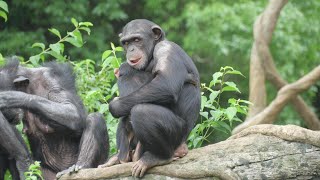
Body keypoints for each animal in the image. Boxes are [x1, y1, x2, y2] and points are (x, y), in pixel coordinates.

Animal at [99, 19, 200, 177]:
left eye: (136, 40)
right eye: (126, 43)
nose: (131, 49)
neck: (151, 55)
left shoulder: (166, 49)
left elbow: (166, 83)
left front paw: (114, 105)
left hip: (177, 135)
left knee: (141, 111)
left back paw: (157, 157)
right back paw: (118, 157)